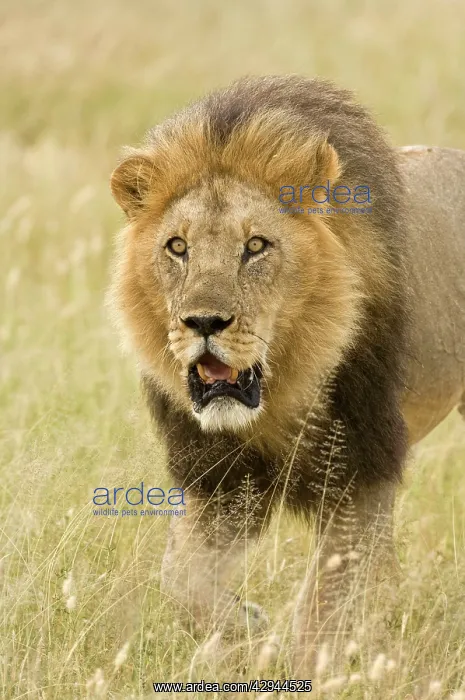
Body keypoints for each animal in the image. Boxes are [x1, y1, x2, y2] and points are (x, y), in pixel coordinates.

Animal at [109, 76, 465, 672]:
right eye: (177, 247)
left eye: (256, 246)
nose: (204, 322)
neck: (279, 394)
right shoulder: (221, 479)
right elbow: (180, 580)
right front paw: (247, 632)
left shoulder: (359, 471)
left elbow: (323, 607)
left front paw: (315, 669)